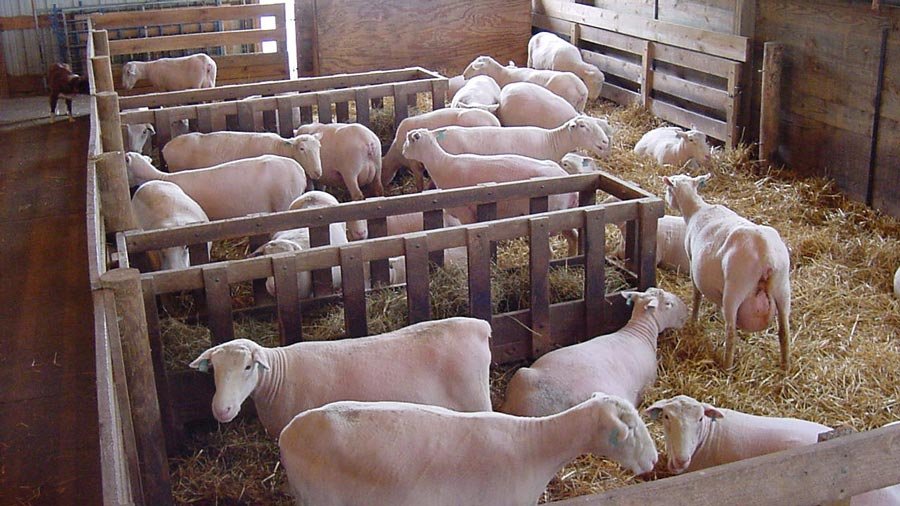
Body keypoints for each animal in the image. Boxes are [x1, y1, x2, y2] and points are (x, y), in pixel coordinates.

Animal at [188, 317, 494, 436]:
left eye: (248, 367)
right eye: (214, 368)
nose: (222, 409)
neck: (280, 377)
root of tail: (479, 326)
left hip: (476, 399)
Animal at [401, 128, 579, 253]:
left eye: (409, 139)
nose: (403, 151)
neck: (442, 164)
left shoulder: (466, 214)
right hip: (565, 215)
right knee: (573, 236)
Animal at [502, 288, 688, 417]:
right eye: (669, 304)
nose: (686, 311)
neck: (639, 331)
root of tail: (529, 410)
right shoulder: (649, 381)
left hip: (523, 374)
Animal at [663, 173, 792, 370]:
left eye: (669, 190)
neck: (696, 209)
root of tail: (767, 256)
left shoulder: (692, 262)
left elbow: (697, 295)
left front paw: (694, 319)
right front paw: (714, 311)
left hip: (735, 289)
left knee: (731, 332)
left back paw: (727, 366)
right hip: (783, 287)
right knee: (784, 332)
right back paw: (785, 366)